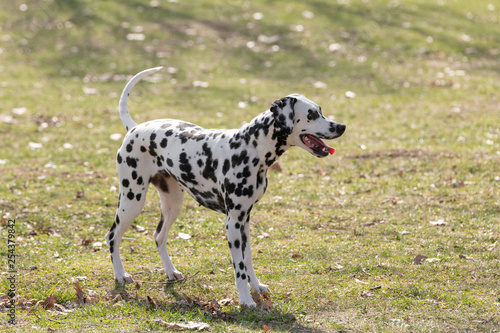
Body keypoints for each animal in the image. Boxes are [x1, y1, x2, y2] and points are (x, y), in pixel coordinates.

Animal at [105, 66, 346, 304]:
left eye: (320, 110)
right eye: (311, 115)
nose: (341, 126)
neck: (250, 148)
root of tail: (135, 128)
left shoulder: (245, 220)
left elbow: (247, 261)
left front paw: (256, 287)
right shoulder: (232, 223)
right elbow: (239, 268)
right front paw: (246, 300)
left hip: (173, 204)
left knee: (159, 237)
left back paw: (171, 272)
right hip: (132, 201)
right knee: (112, 236)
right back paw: (120, 275)